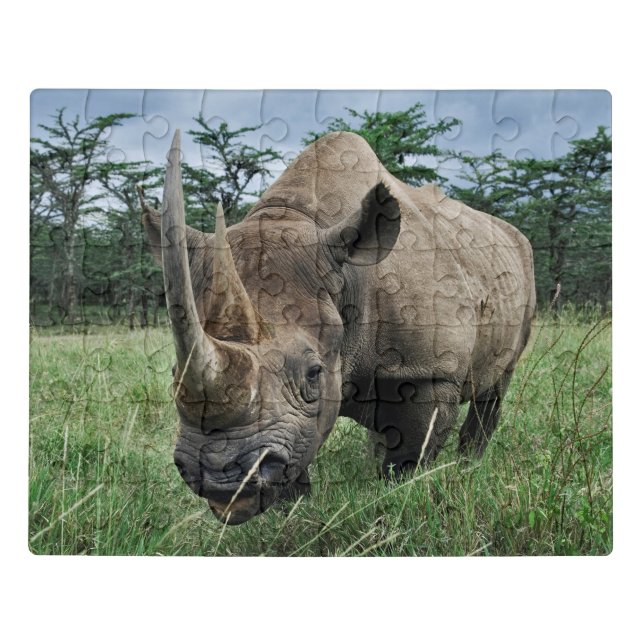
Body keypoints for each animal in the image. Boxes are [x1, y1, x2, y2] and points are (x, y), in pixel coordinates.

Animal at [140, 129, 536, 525]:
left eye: (313, 373)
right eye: (174, 372)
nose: (220, 479)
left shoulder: (430, 370)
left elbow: (409, 458)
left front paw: (398, 501)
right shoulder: (295, 421)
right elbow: (298, 458)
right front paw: (294, 516)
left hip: (522, 268)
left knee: (496, 386)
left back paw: (469, 466)